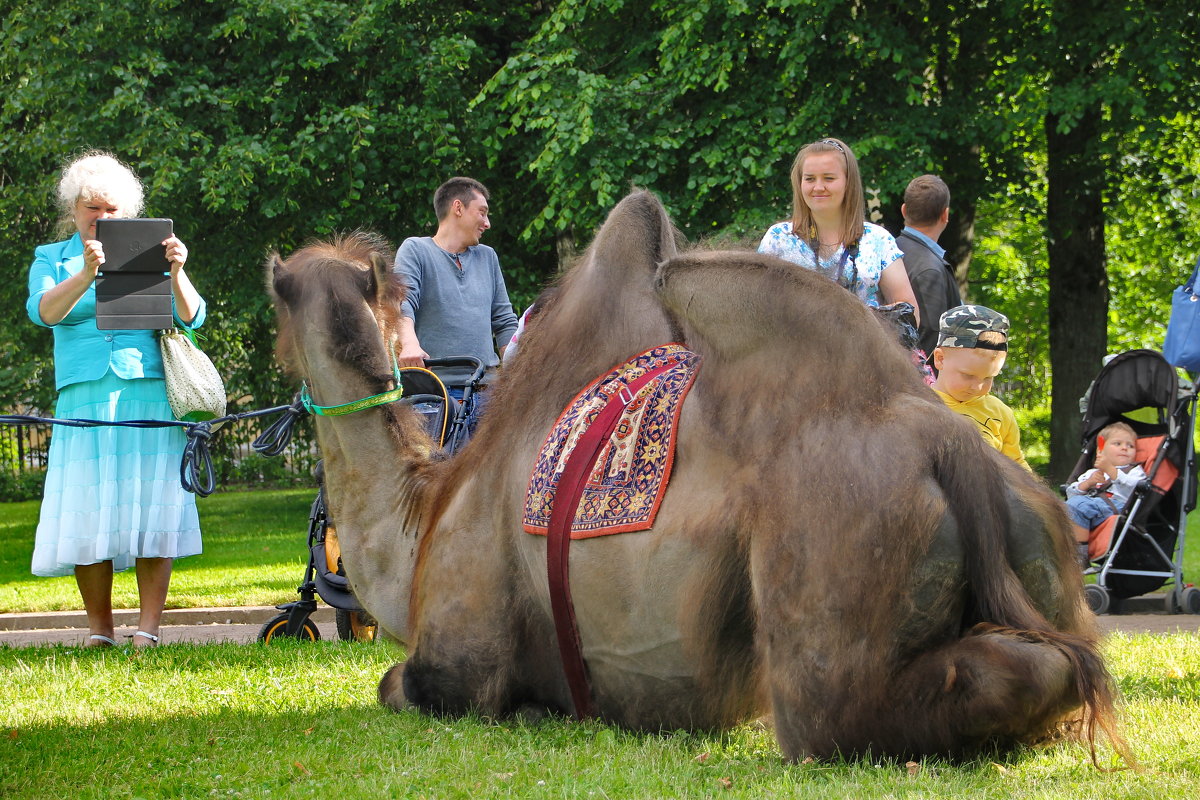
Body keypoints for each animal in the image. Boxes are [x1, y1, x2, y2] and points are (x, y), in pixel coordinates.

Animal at [270, 194, 1123, 762]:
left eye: (276, 298)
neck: (422, 523)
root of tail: (953, 445)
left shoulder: (459, 660)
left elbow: (399, 685)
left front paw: (538, 711)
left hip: (838, 562)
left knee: (848, 713)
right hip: (1041, 537)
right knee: (1068, 659)